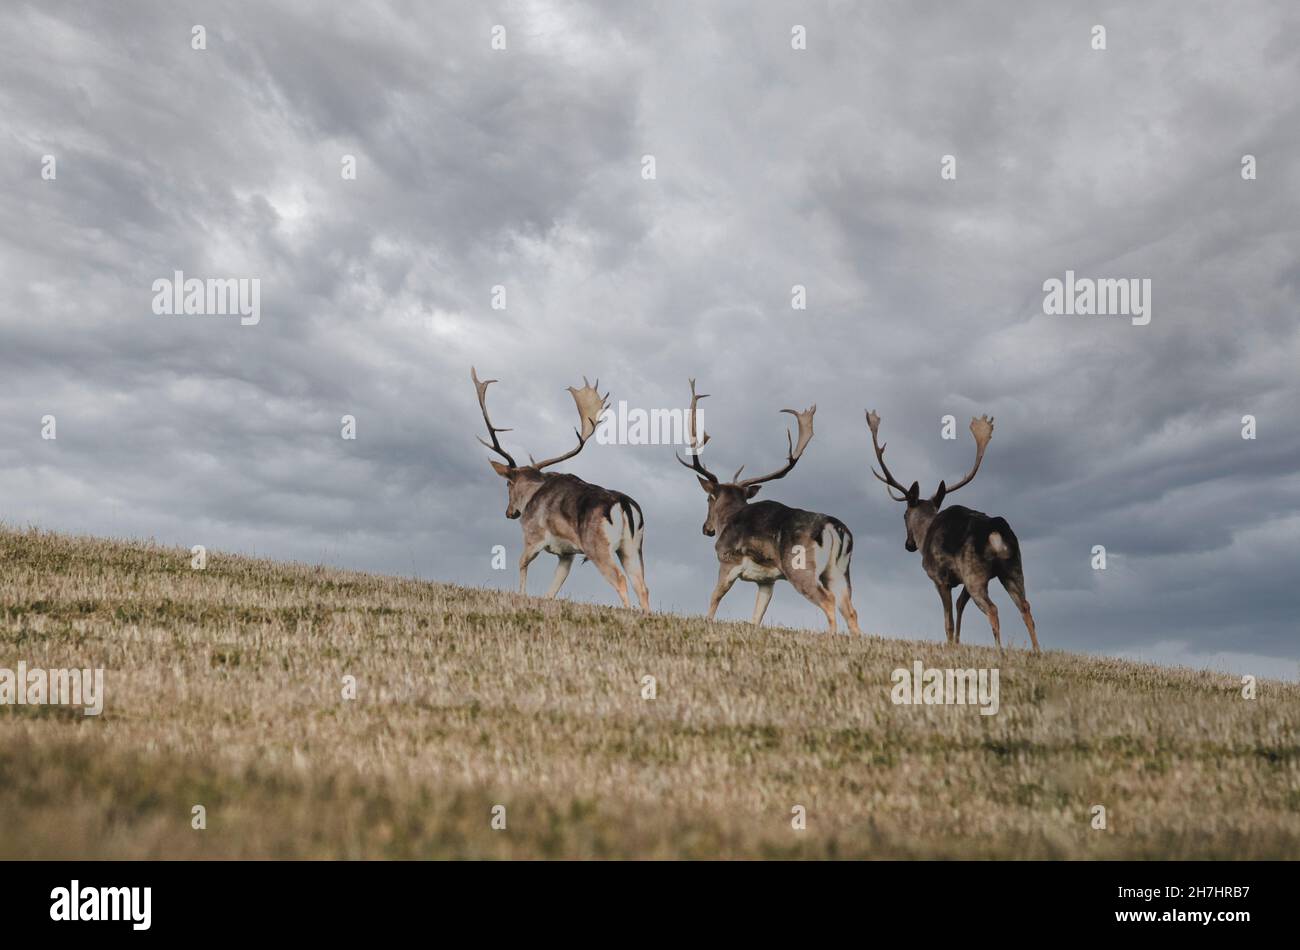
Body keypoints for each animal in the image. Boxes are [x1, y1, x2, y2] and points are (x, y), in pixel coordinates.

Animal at [472, 367, 650, 612]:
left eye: (508, 483)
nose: (510, 513)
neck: (532, 494)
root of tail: (623, 504)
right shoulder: (567, 554)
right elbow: (552, 589)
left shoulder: (533, 536)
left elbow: (521, 563)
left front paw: (520, 596)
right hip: (633, 546)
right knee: (642, 586)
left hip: (598, 546)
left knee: (621, 580)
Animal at [676, 379, 862, 635]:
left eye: (708, 499)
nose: (706, 528)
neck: (729, 519)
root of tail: (835, 529)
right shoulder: (767, 580)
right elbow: (757, 616)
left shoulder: (728, 560)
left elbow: (714, 598)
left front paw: (707, 623)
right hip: (840, 570)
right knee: (851, 609)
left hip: (800, 567)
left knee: (829, 601)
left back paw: (830, 637)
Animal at [865, 411, 1040, 653]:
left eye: (903, 515)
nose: (909, 545)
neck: (925, 534)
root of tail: (996, 531)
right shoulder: (962, 578)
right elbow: (959, 605)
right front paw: (958, 643)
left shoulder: (940, 577)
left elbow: (947, 620)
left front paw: (950, 644)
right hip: (1013, 567)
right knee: (1025, 607)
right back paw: (1037, 652)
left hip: (975, 572)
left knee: (993, 609)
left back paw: (1000, 651)